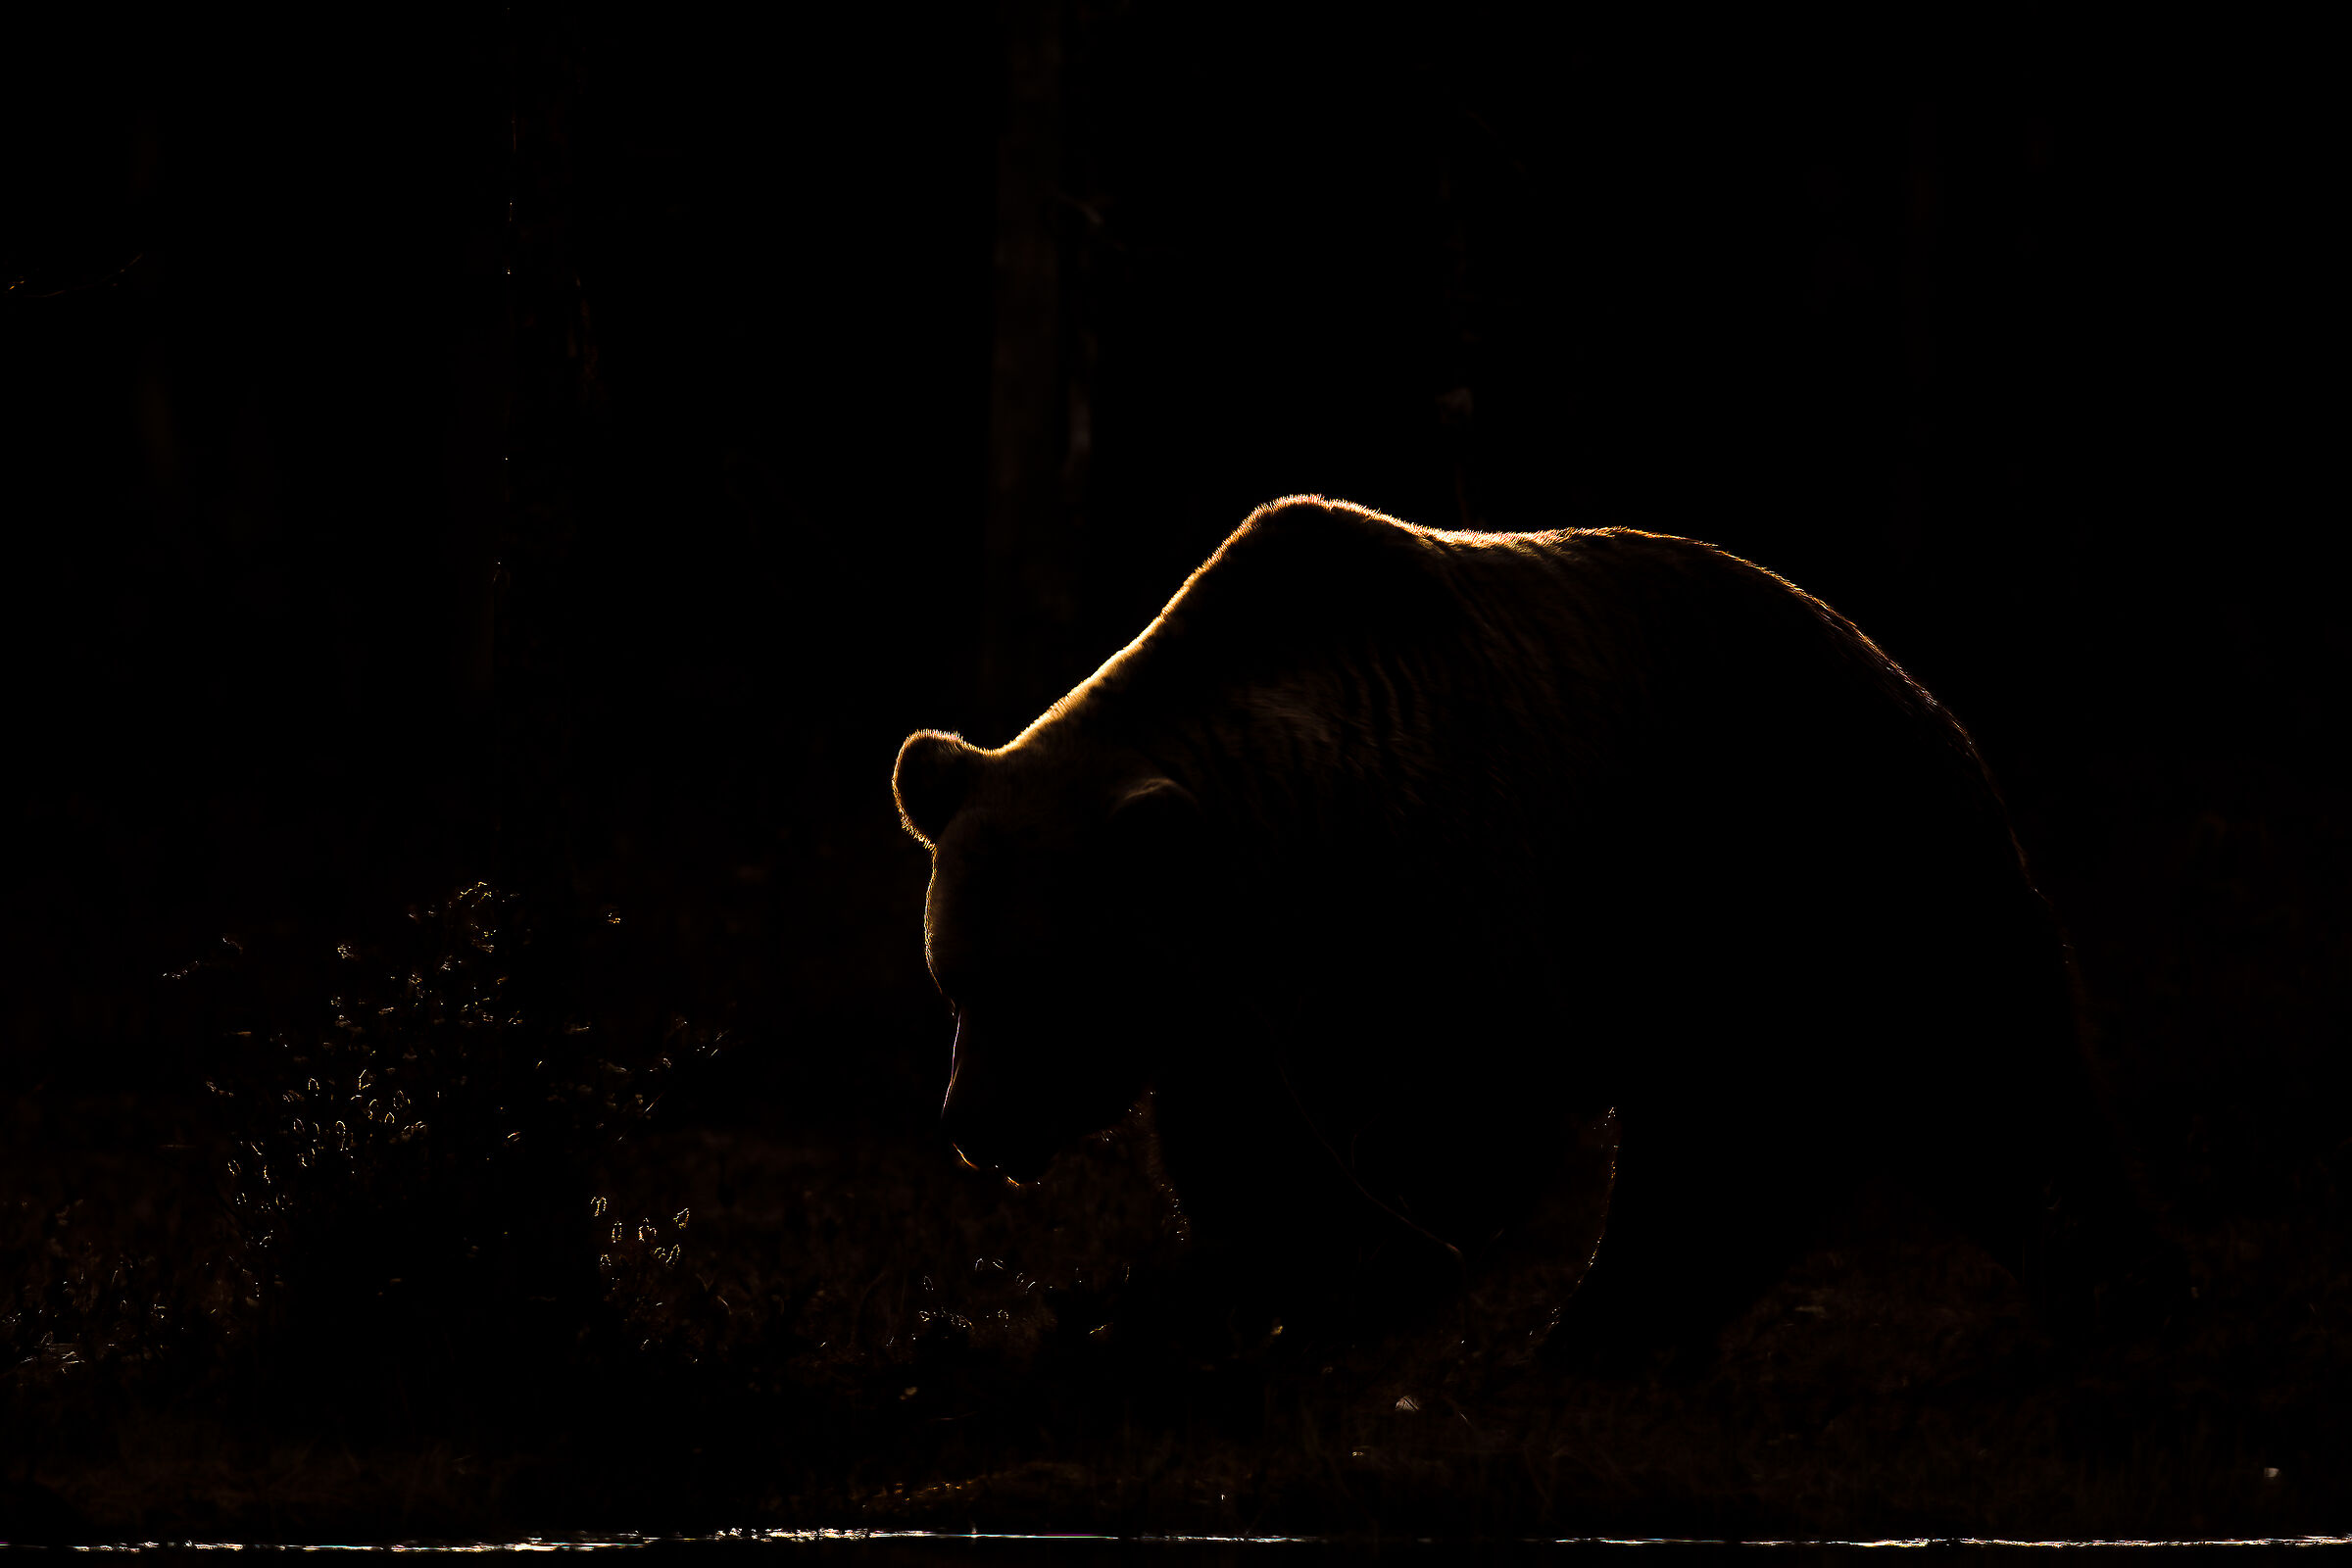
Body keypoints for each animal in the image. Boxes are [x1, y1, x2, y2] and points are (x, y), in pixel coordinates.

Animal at [892, 495, 2155, 1361]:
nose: (976, 1123)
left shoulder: (1441, 888)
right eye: (955, 979)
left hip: (1821, 864)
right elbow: (1246, 1147)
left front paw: (1371, 1268)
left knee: (1987, 1085)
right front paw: (1237, 1283)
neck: (1280, 864)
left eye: (1042, 983)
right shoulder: (1235, 1004)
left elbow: (1464, 1115)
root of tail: (1914, 676)